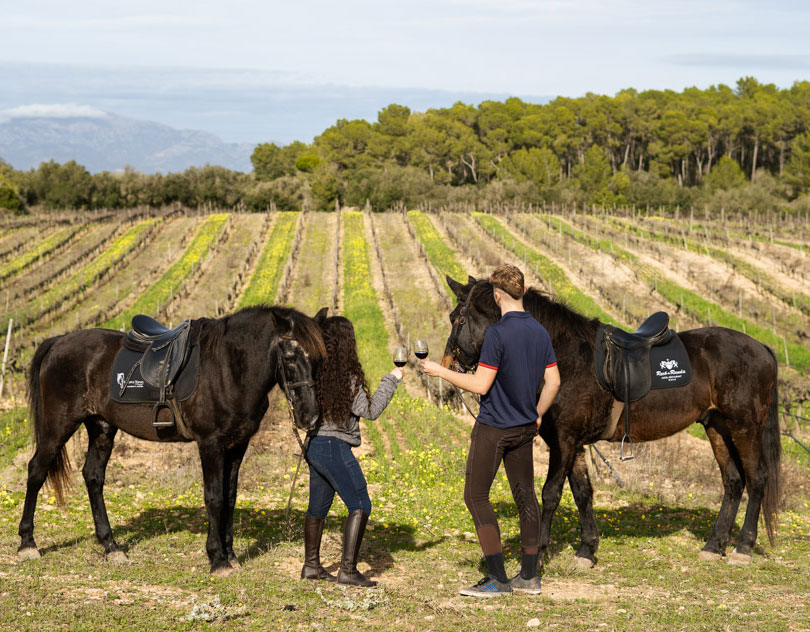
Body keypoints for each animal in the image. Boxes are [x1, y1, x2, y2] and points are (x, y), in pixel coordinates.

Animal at [18, 305, 327, 576]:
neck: (228, 368)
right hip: (58, 426)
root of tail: (58, 342)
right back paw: (27, 544)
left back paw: (111, 546)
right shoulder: (210, 444)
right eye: (289, 356)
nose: (310, 416)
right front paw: (217, 559)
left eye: (319, 359)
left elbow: (230, 497)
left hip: (101, 427)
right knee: (36, 471)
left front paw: (231, 555)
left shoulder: (238, 445)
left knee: (93, 477)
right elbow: (214, 497)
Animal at [441, 276, 781, 570]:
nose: (447, 367)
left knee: (757, 479)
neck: (561, 355)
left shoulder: (563, 441)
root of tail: (761, 348)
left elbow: (550, 494)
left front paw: (538, 555)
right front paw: (586, 550)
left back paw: (742, 547)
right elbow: (582, 493)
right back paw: (714, 545)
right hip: (717, 427)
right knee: (733, 482)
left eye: (457, 318)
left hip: (745, 428)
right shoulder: (573, 443)